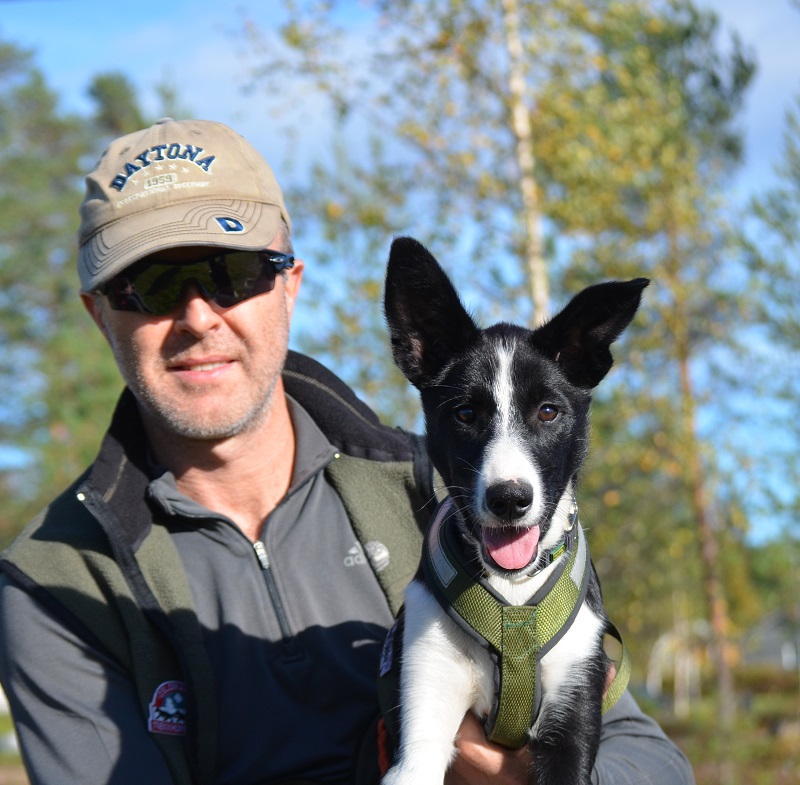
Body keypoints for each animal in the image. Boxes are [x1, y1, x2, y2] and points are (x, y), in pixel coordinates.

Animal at [379, 237, 648, 785]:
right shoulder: (419, 711)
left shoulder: (574, 701)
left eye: (547, 411)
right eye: (464, 413)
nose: (509, 498)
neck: (514, 600)